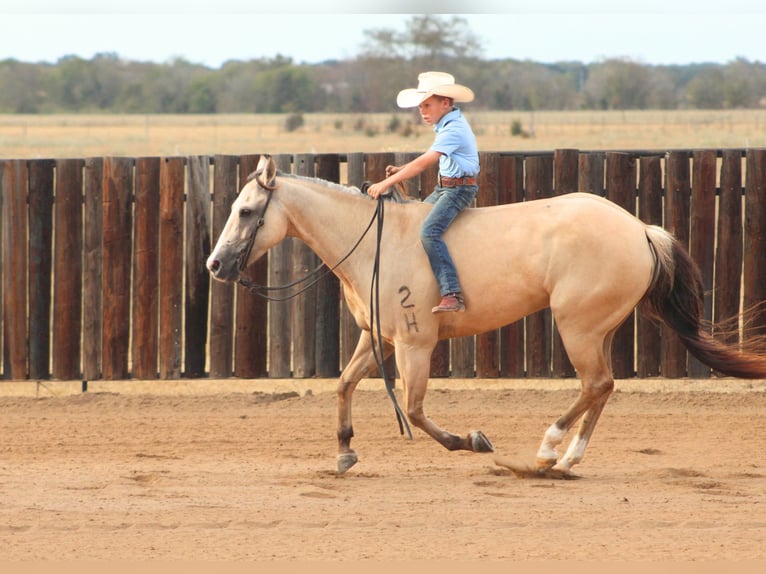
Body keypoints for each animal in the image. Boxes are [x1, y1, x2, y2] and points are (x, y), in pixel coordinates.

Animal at [207, 154, 766, 477]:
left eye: (246, 211)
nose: (215, 265)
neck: (373, 244)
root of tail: (640, 229)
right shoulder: (378, 339)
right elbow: (344, 384)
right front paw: (344, 452)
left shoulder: (414, 344)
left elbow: (413, 409)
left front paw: (472, 441)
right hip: (598, 329)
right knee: (603, 387)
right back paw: (568, 459)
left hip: (577, 328)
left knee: (593, 385)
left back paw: (546, 452)